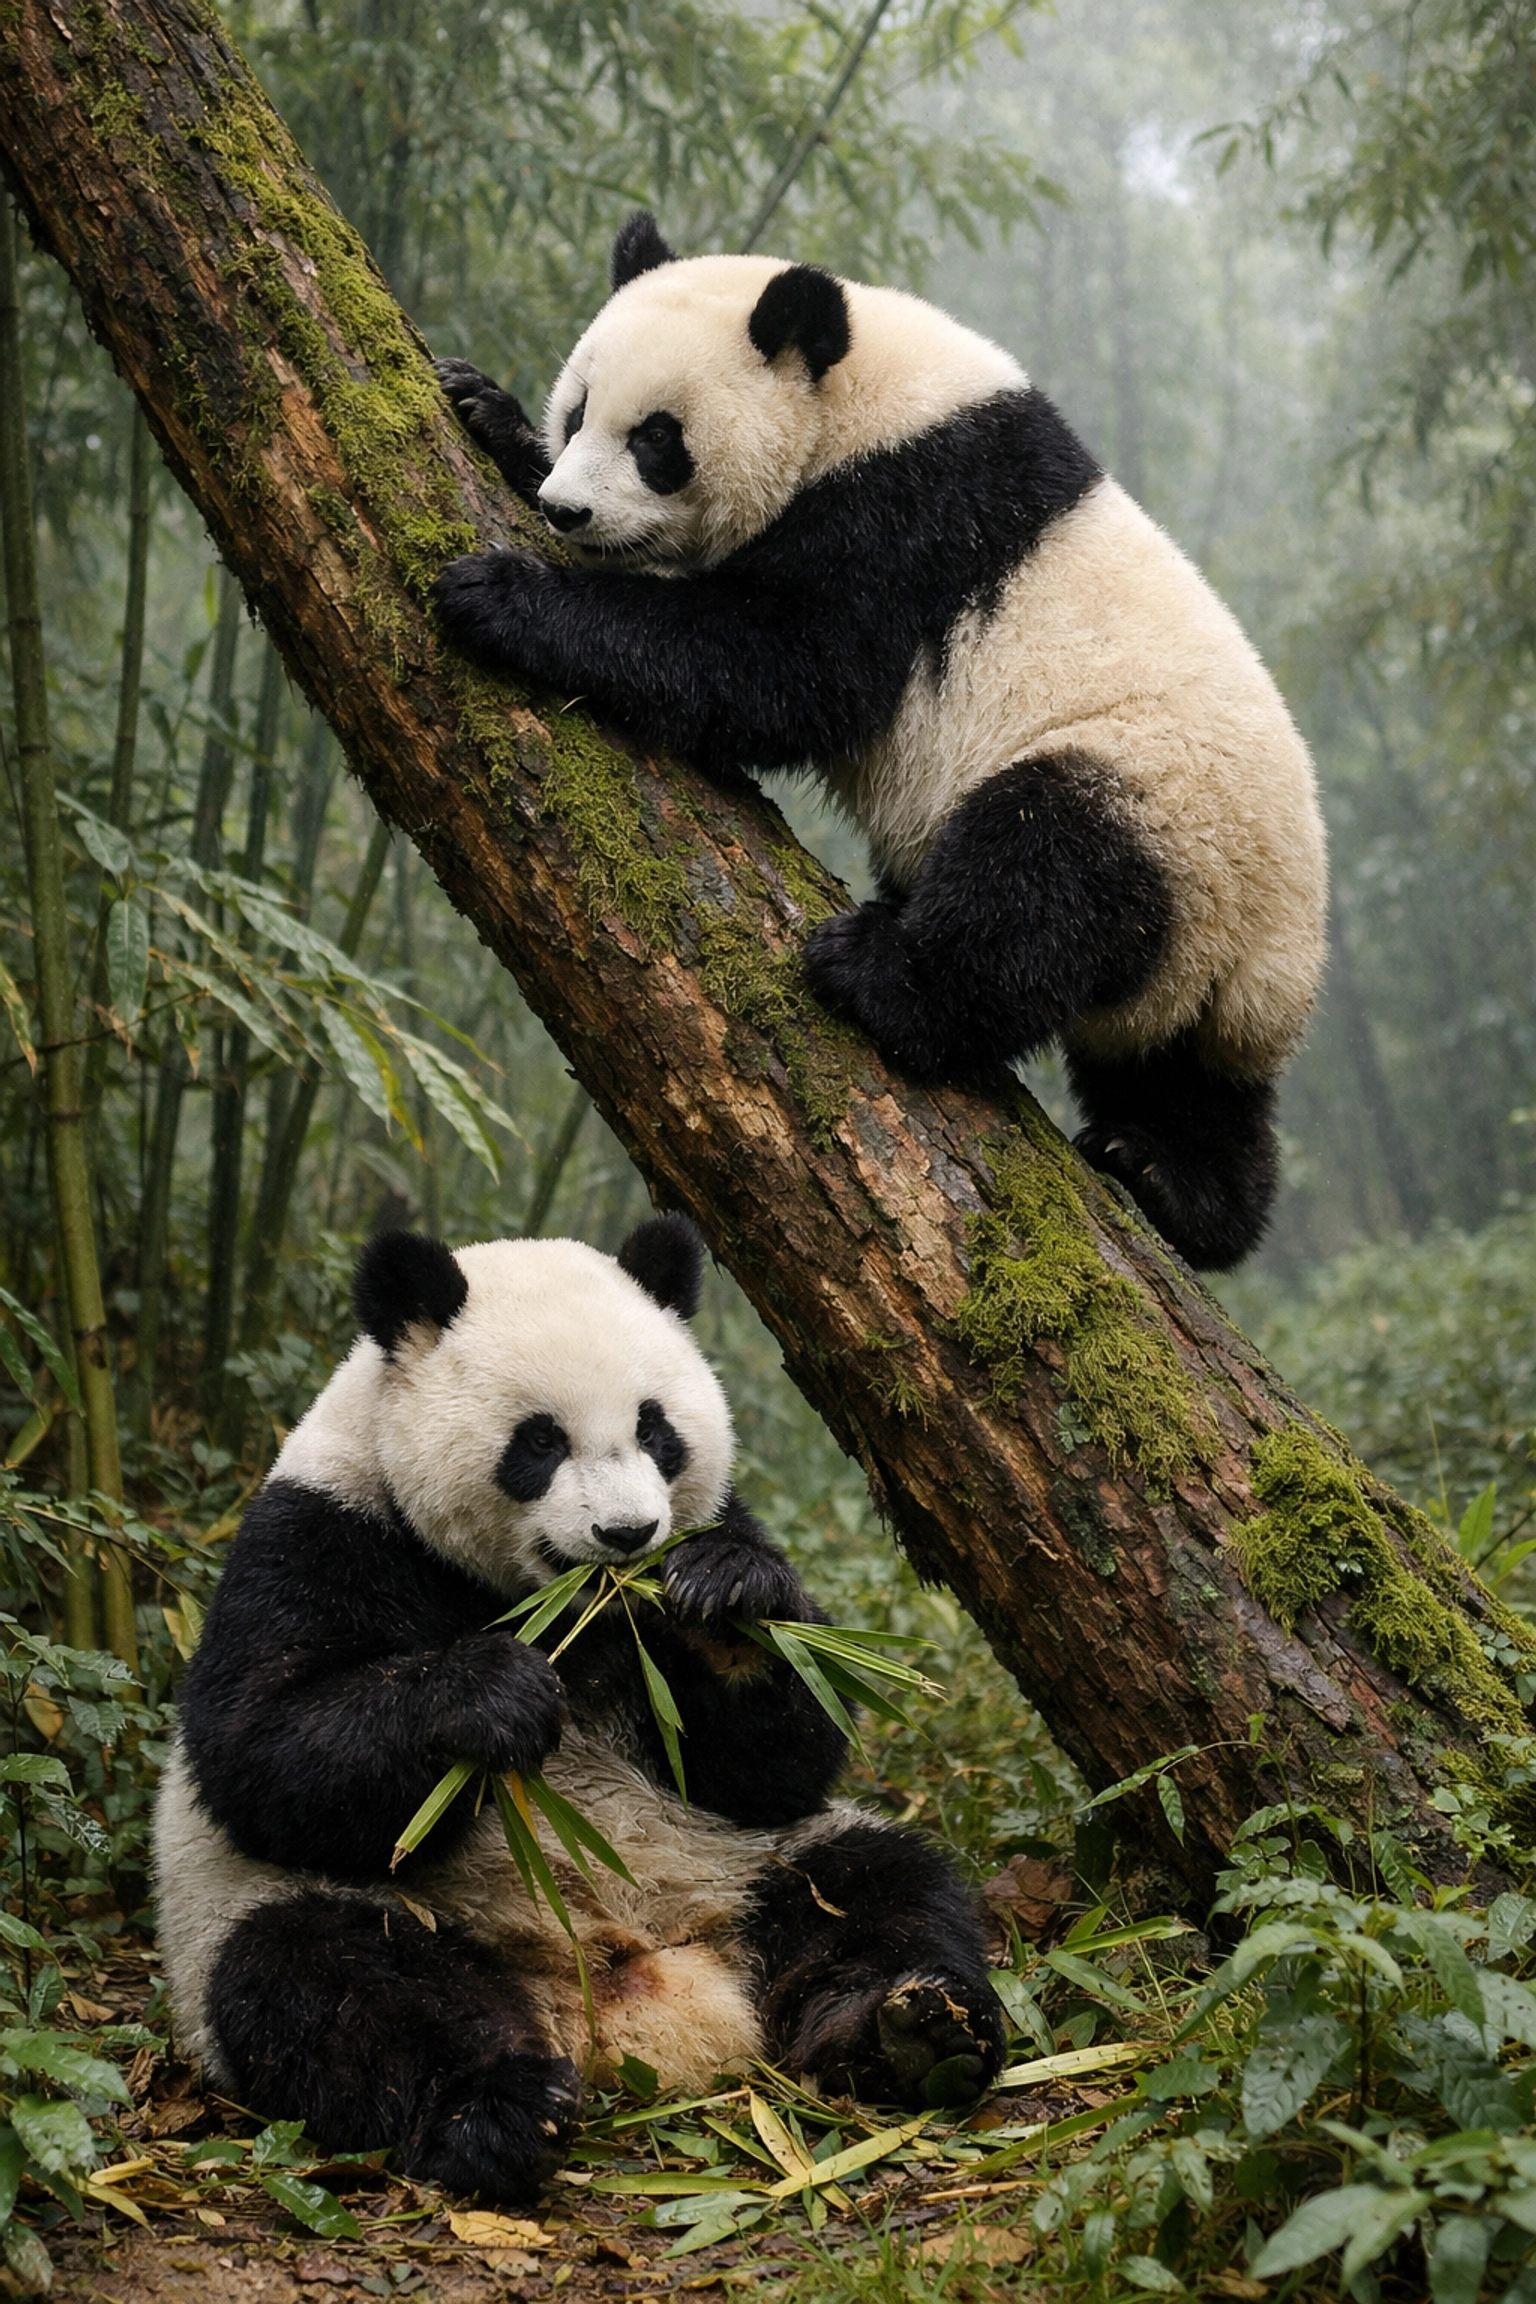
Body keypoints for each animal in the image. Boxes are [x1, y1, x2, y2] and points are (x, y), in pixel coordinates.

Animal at [153, 1216, 1003, 2204]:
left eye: (655, 1429)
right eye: (539, 1442)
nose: (627, 1535)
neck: (573, 1609)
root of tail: (627, 1988)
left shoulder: (709, 1535)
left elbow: (775, 1759)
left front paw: (730, 1604)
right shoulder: (322, 1533)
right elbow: (262, 1750)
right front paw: (491, 1694)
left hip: (746, 1865)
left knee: (882, 1891)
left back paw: (913, 2032)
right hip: (301, 1913)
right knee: (333, 1983)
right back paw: (500, 2108)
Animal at [431, 212, 1327, 1270]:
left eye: (657, 440)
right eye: (576, 413)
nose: (567, 511)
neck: (860, 399)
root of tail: (1277, 947)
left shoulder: (907, 520)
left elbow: (783, 665)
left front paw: (504, 597)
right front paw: (484, 408)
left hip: (1159, 797)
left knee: (1042, 876)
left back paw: (880, 974)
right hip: (1201, 948)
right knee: (1189, 1081)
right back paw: (1175, 1180)